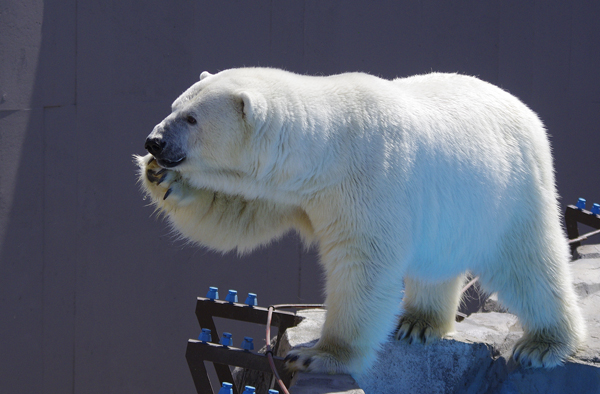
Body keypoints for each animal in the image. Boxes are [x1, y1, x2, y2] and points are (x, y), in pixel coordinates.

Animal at [136, 68, 584, 376]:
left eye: (192, 119)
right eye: (175, 106)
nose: (154, 142)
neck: (328, 146)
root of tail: (524, 109)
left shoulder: (369, 182)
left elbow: (363, 269)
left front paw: (318, 355)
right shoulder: (293, 191)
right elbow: (239, 214)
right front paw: (160, 177)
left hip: (511, 192)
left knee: (529, 263)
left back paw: (544, 344)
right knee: (436, 264)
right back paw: (419, 322)